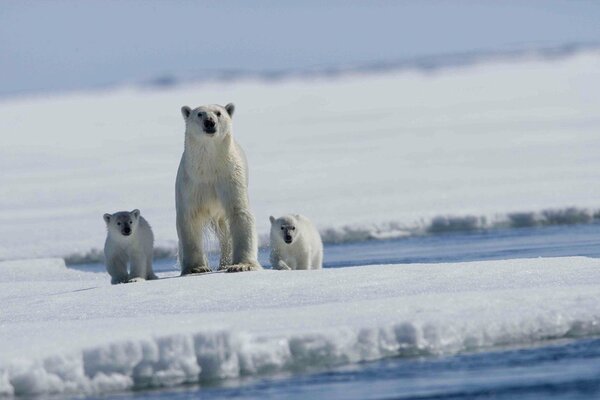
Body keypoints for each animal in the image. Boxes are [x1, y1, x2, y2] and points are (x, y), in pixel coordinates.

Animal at [175, 102, 262, 276]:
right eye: (200, 114)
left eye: (218, 113)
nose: (209, 122)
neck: (209, 167)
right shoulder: (191, 184)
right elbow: (189, 218)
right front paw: (196, 268)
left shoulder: (230, 177)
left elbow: (239, 213)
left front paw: (241, 265)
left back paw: (224, 263)